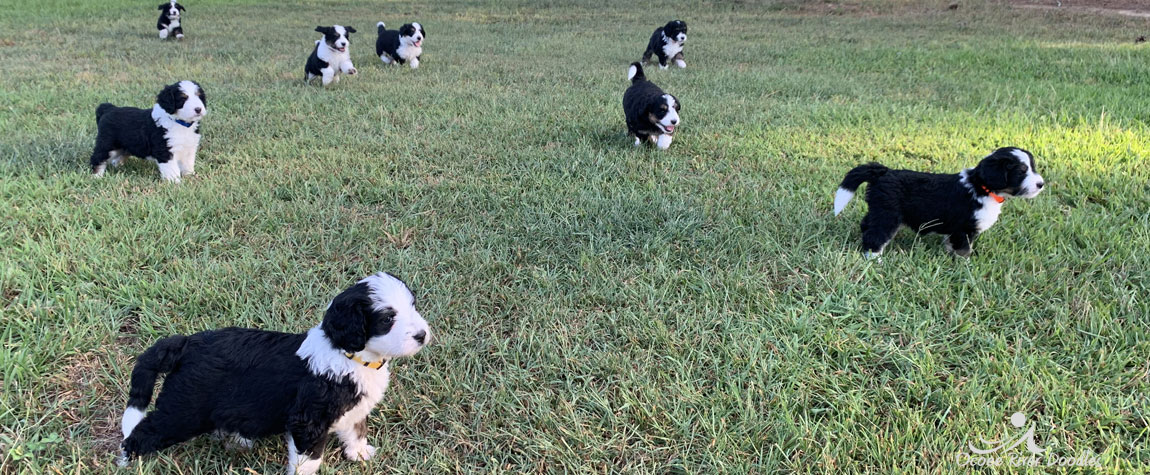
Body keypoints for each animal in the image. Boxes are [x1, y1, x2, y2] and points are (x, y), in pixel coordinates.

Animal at [117, 270, 432, 473]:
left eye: (413, 306)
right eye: (387, 319)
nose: (422, 335)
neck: (350, 356)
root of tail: (185, 343)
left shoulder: (353, 409)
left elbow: (356, 430)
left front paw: (360, 454)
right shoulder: (308, 421)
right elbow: (309, 462)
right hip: (182, 412)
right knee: (141, 434)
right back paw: (126, 462)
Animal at [832, 148, 1048, 258]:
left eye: (1033, 167)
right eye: (1021, 171)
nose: (1041, 184)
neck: (982, 188)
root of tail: (883, 172)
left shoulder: (957, 231)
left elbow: (952, 243)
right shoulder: (964, 228)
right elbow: (964, 249)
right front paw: (964, 265)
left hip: (879, 210)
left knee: (866, 224)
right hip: (888, 216)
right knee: (875, 235)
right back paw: (874, 257)